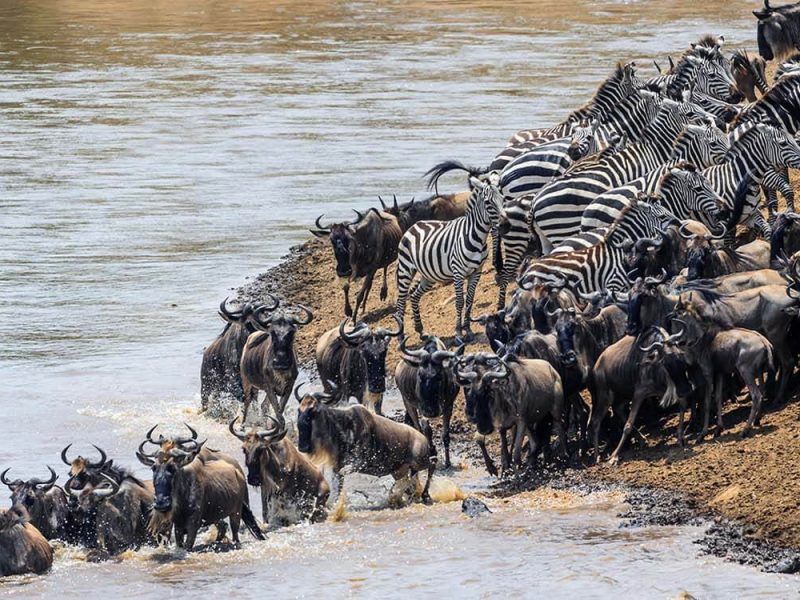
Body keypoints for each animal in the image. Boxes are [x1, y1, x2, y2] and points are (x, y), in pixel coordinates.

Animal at [394, 163, 502, 339]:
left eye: (503, 199)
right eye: (488, 202)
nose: (505, 221)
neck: (477, 237)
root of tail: (415, 225)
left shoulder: (476, 272)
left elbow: (470, 299)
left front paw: (468, 329)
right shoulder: (458, 272)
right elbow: (459, 301)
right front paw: (458, 331)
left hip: (428, 276)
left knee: (414, 295)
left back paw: (421, 330)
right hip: (405, 270)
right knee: (401, 301)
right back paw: (401, 336)